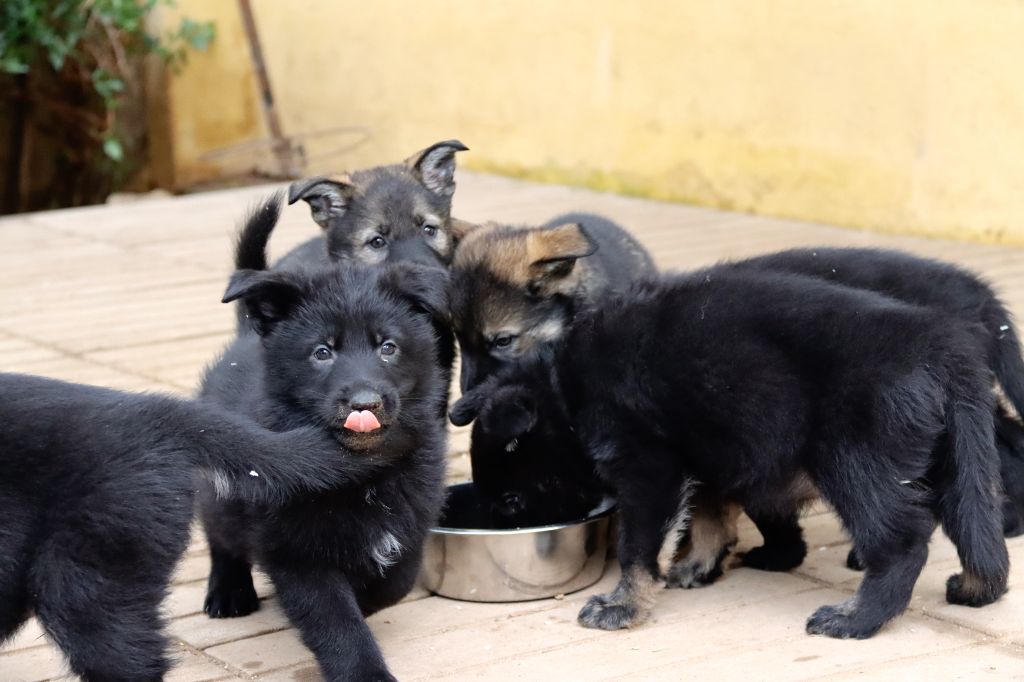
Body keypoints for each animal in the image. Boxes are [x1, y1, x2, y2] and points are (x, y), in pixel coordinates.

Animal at [199, 193, 448, 675]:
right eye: (322, 352)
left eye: (388, 347)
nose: (365, 403)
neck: (364, 474)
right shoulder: (295, 553)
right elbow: (335, 619)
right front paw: (365, 671)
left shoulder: (409, 525)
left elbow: (393, 582)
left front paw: (366, 599)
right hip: (224, 489)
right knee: (220, 533)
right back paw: (228, 590)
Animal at [454, 266, 1007, 638]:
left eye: (511, 503)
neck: (566, 388)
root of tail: (941, 347)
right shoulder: (698, 458)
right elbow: (707, 519)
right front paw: (698, 566)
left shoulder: (648, 469)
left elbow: (639, 548)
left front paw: (624, 605)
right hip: (952, 460)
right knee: (974, 528)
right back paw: (976, 587)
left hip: (855, 463)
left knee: (904, 542)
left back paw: (857, 618)